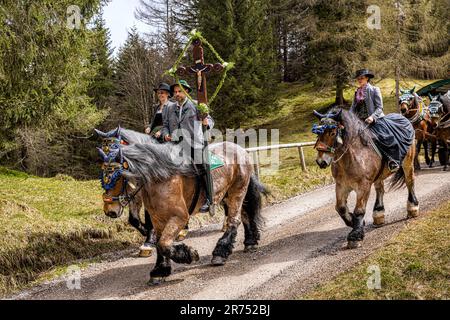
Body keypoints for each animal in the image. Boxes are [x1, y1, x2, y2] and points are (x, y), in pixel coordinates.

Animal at [96, 127, 268, 282]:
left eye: (117, 175)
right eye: (103, 172)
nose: (109, 210)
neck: (160, 176)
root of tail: (240, 149)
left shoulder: (179, 217)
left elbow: (163, 244)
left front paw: (189, 254)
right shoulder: (158, 219)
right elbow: (160, 243)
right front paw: (160, 270)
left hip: (237, 191)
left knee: (235, 219)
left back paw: (220, 252)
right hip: (227, 194)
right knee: (245, 214)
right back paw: (250, 241)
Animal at [314, 109, 416, 249]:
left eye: (332, 133)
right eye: (318, 134)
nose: (321, 162)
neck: (353, 156)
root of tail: (403, 118)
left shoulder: (364, 185)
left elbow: (359, 210)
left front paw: (355, 236)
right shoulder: (341, 185)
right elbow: (340, 208)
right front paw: (353, 222)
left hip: (408, 162)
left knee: (410, 182)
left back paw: (412, 208)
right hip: (379, 176)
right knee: (380, 189)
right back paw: (378, 214)